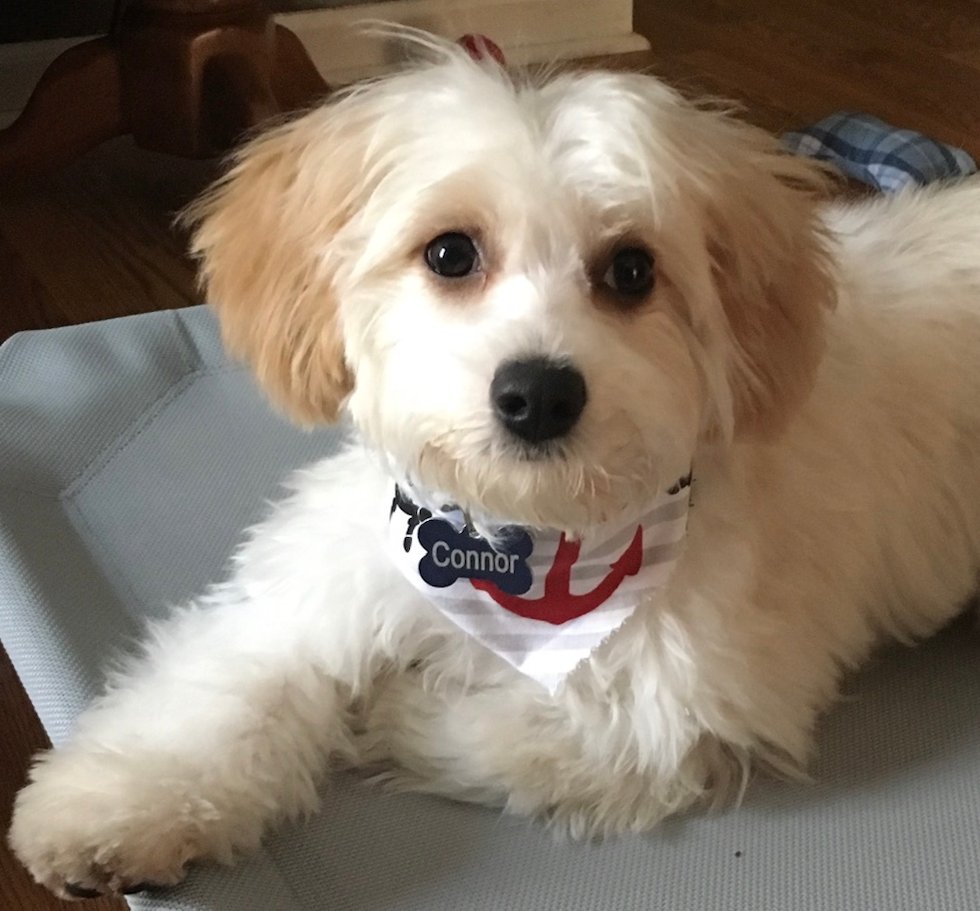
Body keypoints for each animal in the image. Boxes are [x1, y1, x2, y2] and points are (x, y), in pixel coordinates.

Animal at [11, 30, 980, 904]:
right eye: (450, 252)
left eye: (633, 270)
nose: (539, 394)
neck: (521, 533)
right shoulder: (333, 570)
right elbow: (232, 682)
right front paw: (125, 800)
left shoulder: (694, 698)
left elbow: (512, 731)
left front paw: (389, 709)